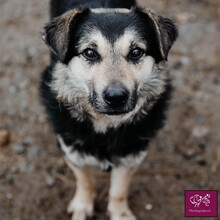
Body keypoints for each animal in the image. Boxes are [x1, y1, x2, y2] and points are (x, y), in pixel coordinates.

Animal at [40, 0, 178, 220]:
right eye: (89, 53)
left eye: (136, 52)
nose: (116, 97)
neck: (107, 125)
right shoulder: (71, 150)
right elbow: (85, 180)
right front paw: (83, 205)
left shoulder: (132, 154)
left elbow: (118, 190)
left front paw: (120, 213)